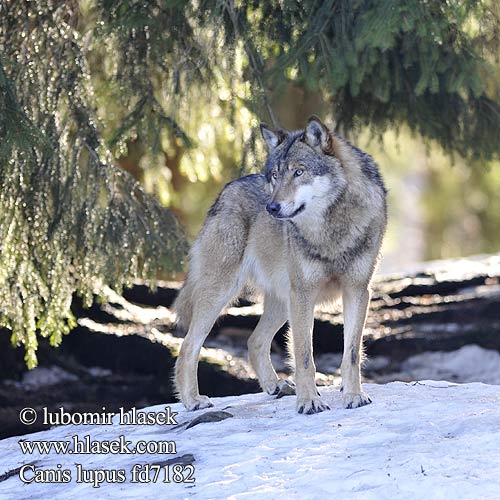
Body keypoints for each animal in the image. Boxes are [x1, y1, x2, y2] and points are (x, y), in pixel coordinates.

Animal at [174, 116, 388, 414]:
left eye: (299, 172)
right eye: (275, 175)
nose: (271, 207)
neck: (332, 229)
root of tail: (225, 191)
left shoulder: (357, 291)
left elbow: (353, 353)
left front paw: (353, 395)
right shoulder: (304, 294)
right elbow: (304, 355)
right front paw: (309, 401)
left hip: (280, 302)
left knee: (254, 341)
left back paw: (276, 386)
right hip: (222, 293)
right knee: (188, 346)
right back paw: (192, 401)